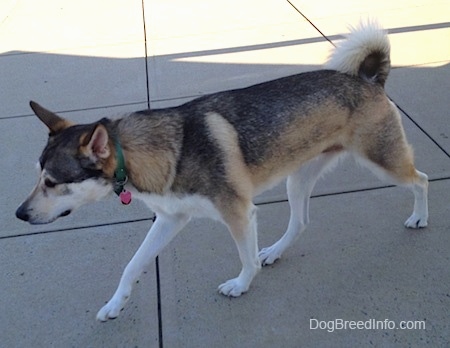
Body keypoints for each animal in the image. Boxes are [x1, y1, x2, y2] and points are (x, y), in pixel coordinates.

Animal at [14, 21, 428, 320]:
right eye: (38, 176)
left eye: (52, 182)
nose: (19, 214)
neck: (146, 151)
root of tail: (367, 78)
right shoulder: (170, 219)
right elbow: (132, 266)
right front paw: (116, 304)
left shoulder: (238, 213)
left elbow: (245, 258)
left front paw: (241, 285)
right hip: (298, 178)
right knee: (300, 222)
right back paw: (275, 250)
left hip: (383, 161)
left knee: (420, 180)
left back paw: (420, 217)